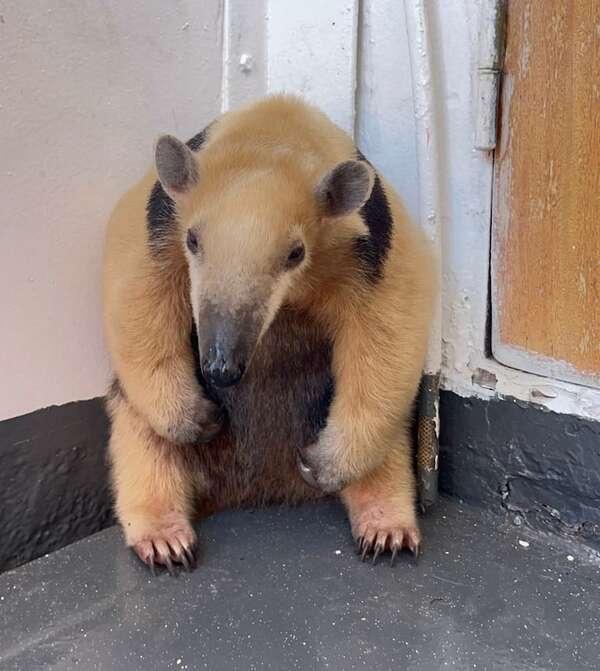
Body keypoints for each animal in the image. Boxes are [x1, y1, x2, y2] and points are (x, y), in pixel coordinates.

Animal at [103, 95, 435, 574]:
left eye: (295, 253)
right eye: (193, 240)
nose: (219, 369)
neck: (272, 142)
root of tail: (261, 486)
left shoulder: (374, 247)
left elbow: (389, 320)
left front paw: (324, 463)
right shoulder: (158, 221)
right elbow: (138, 293)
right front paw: (199, 418)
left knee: (386, 449)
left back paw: (385, 527)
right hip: (144, 423)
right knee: (142, 437)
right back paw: (164, 539)